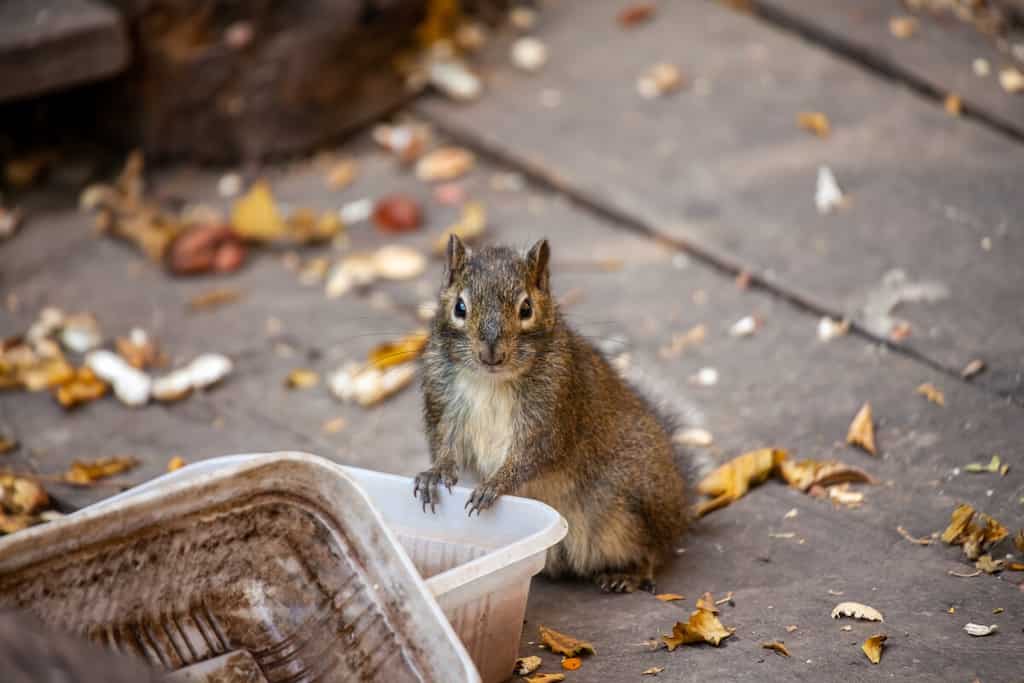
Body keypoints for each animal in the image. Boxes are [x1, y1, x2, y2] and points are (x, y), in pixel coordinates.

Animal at [415, 235, 688, 592]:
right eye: (460, 308)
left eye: (526, 309)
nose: (491, 354)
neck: (491, 381)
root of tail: (680, 504)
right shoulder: (442, 402)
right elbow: (445, 443)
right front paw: (435, 473)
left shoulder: (553, 409)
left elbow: (534, 453)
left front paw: (496, 483)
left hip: (632, 506)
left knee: (654, 552)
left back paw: (629, 574)